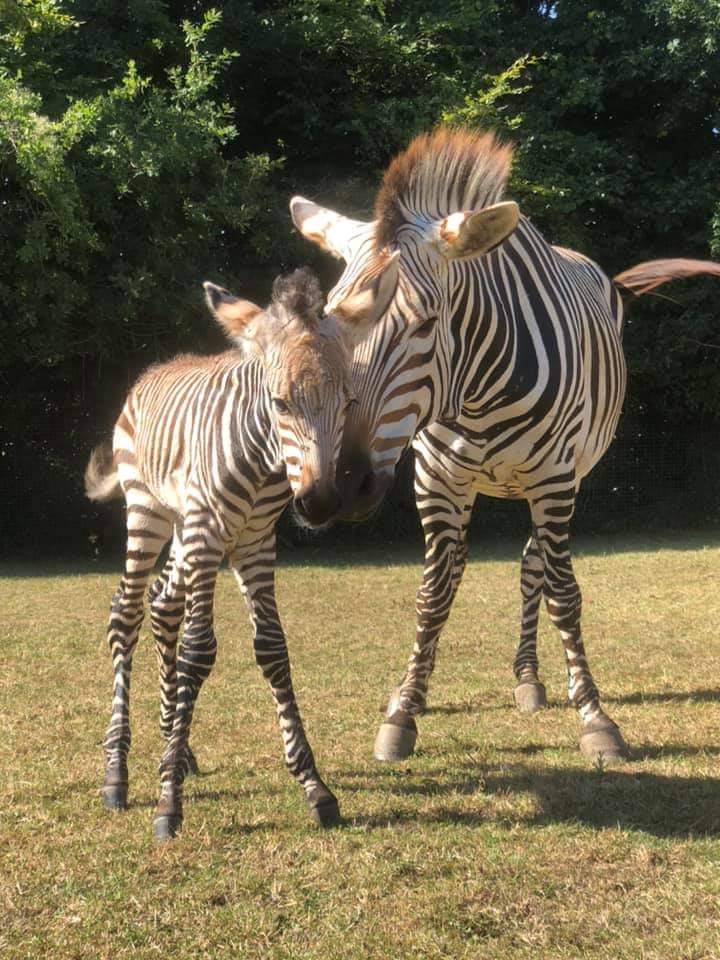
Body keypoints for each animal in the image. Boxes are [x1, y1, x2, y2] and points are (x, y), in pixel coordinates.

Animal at [86, 266, 362, 836]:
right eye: (279, 403)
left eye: (348, 403)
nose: (321, 502)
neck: (262, 460)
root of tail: (155, 370)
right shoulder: (209, 534)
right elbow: (199, 651)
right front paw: (168, 803)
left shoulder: (256, 543)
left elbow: (273, 650)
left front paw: (314, 787)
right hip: (150, 515)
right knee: (126, 614)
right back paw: (117, 772)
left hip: (187, 532)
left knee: (161, 605)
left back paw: (177, 745)